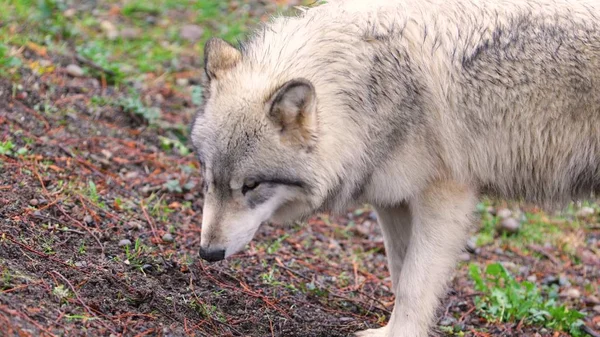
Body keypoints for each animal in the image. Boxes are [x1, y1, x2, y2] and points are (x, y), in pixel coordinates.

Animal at [191, 0, 600, 334]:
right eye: (210, 179)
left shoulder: (445, 198)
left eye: (251, 185)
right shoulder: (392, 200)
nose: (208, 254)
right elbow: (401, 273)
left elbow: (415, 284)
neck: (367, 87)